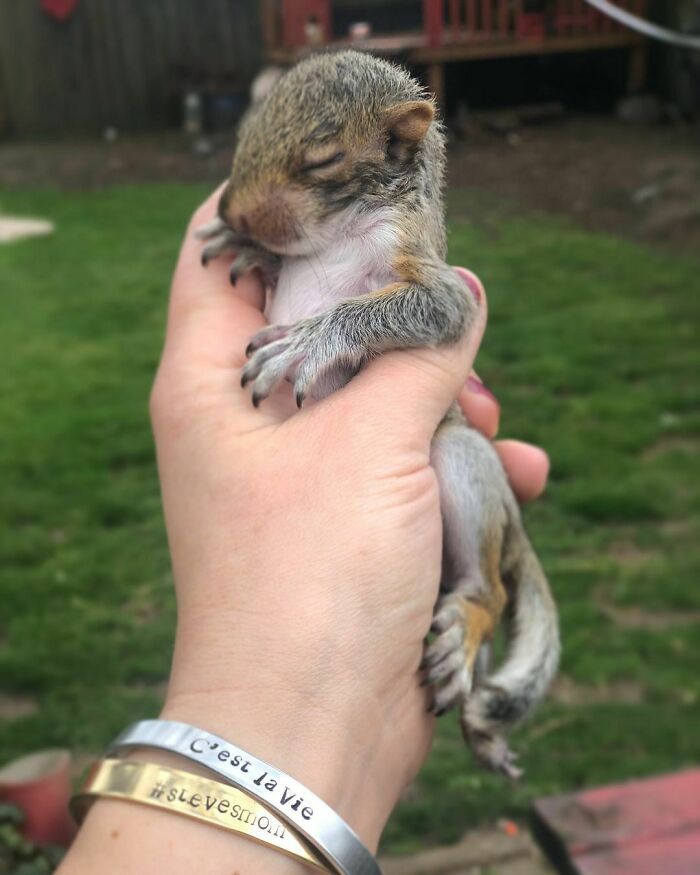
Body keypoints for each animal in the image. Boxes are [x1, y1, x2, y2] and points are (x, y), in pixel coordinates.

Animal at [197, 50, 560, 779]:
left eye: (324, 159)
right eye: (245, 129)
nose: (228, 209)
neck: (337, 235)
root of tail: (515, 525)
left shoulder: (433, 279)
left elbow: (413, 306)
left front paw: (308, 340)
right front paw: (247, 247)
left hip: (465, 461)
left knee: (491, 592)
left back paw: (465, 631)